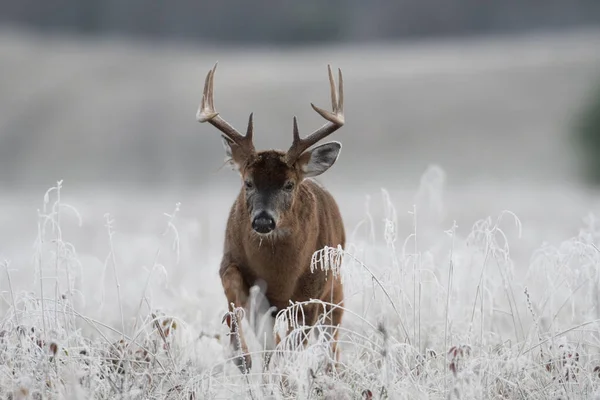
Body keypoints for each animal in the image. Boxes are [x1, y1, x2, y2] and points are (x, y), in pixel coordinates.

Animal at [197, 62, 346, 376]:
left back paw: (330, 370)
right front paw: (242, 358)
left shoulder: (311, 292)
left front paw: (283, 375)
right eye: (248, 182)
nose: (263, 222)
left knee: (331, 336)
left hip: (336, 287)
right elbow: (234, 299)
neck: (279, 273)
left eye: (289, 184)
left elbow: (292, 344)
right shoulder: (231, 262)